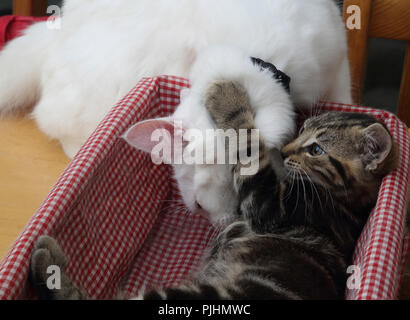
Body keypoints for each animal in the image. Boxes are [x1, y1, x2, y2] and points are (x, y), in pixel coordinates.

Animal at [0, 0, 352, 225]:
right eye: (198, 207)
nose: (220, 224)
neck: (253, 67)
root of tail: (55, 33)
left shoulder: (338, 67)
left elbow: (344, 98)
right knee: (53, 122)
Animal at [30, 80, 398, 300]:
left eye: (317, 150)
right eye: (303, 130)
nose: (285, 150)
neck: (344, 204)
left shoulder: (275, 207)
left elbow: (248, 144)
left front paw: (228, 97)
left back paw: (50, 266)